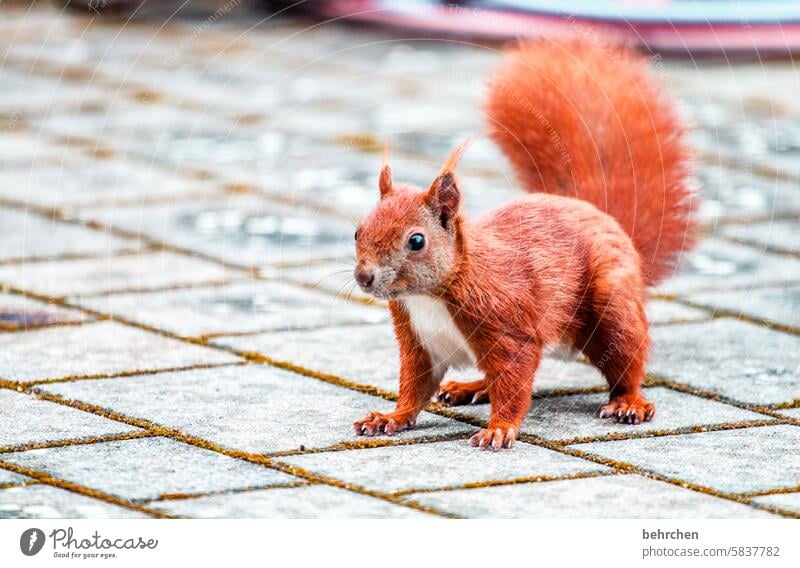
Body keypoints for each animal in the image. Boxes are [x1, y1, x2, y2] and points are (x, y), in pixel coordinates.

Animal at [350, 37, 692, 450]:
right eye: (357, 231)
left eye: (416, 240)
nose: (364, 277)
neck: (430, 296)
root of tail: (600, 214)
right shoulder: (417, 339)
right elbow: (414, 387)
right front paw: (390, 417)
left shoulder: (507, 325)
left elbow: (515, 380)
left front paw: (499, 428)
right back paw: (471, 387)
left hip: (612, 302)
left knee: (627, 359)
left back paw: (630, 403)